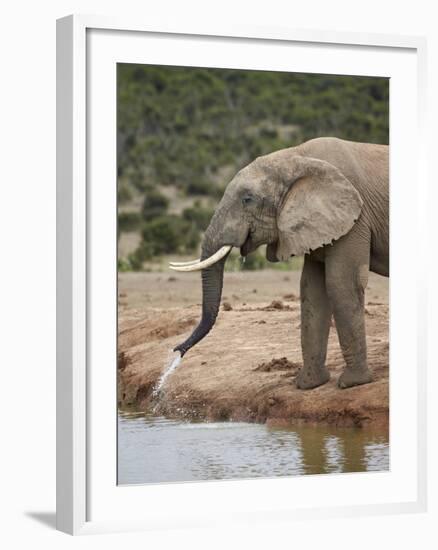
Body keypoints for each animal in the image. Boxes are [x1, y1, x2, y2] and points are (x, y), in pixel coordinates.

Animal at [169, 138, 388, 390]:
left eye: (247, 200)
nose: (177, 351)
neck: (295, 157)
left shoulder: (355, 218)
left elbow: (341, 283)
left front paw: (353, 383)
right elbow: (312, 290)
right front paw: (308, 385)